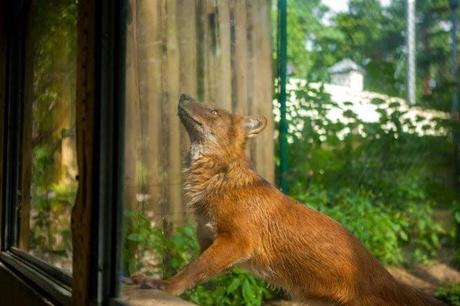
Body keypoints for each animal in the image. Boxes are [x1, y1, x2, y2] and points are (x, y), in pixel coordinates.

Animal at [132, 94, 442, 304]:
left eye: (214, 111)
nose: (183, 95)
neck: (218, 179)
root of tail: (386, 276)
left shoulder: (235, 242)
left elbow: (189, 272)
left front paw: (164, 287)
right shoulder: (209, 242)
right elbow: (191, 268)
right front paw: (153, 279)